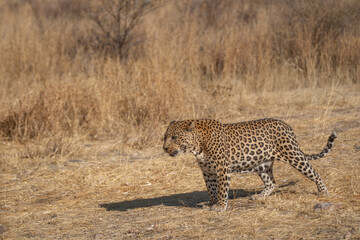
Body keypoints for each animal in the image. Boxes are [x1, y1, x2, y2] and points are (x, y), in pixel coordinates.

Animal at [163, 118, 338, 210]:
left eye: (174, 138)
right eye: (165, 137)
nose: (164, 148)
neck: (197, 145)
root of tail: (287, 125)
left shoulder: (222, 169)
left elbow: (221, 190)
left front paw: (220, 206)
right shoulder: (207, 171)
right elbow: (211, 189)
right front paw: (212, 203)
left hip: (293, 155)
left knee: (314, 172)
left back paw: (323, 192)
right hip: (263, 165)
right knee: (271, 183)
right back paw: (259, 196)